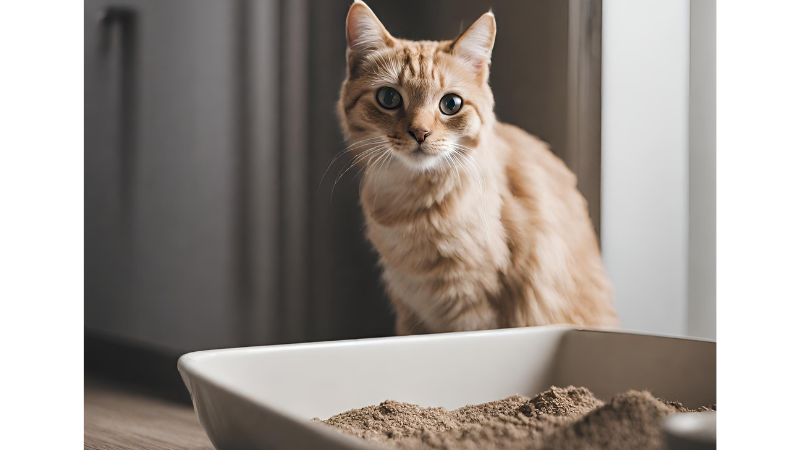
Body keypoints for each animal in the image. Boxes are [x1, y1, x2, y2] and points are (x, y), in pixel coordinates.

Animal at [334, 0, 616, 334]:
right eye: (389, 97)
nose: (419, 133)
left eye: (451, 104)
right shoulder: (409, 311)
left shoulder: (476, 309)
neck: (411, 204)